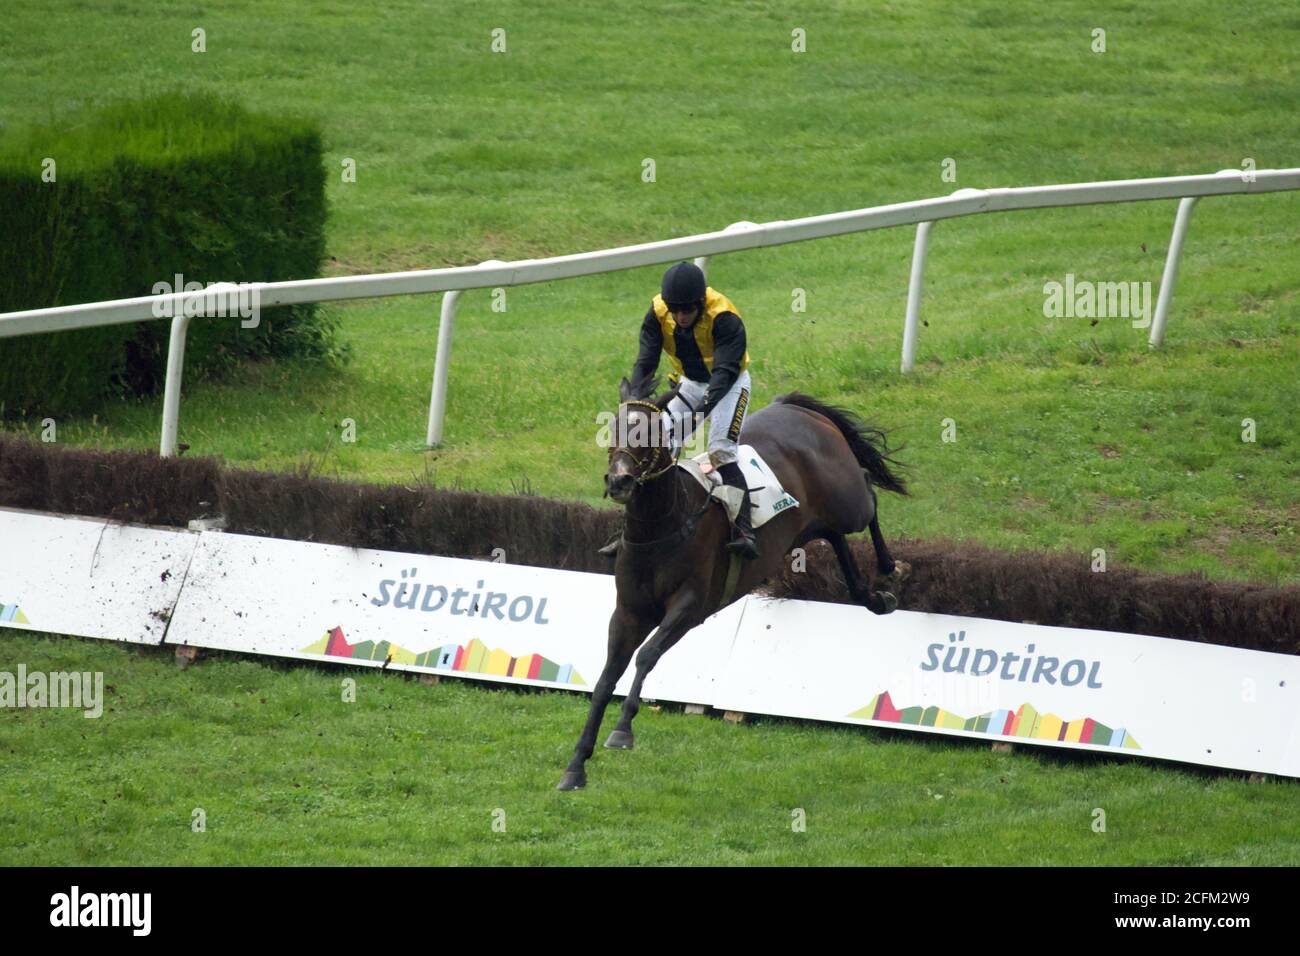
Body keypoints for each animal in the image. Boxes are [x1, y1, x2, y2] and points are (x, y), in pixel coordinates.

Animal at [553, 374, 909, 790]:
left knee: (868, 493)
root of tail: (792, 406)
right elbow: (605, 679)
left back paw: (890, 566)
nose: (620, 480)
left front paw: (623, 729)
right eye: (613, 427)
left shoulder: (690, 606)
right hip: (809, 526)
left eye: (653, 433)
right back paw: (874, 598)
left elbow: (647, 655)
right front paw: (576, 765)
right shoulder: (628, 613)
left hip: (847, 501)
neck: (663, 525)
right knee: (836, 538)